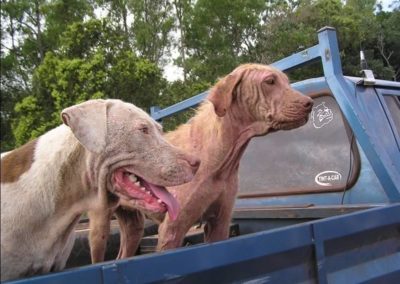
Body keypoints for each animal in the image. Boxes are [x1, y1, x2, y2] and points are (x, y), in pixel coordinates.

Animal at [89, 63, 314, 260]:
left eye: (287, 81)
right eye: (269, 81)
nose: (309, 103)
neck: (219, 161)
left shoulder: (220, 223)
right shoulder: (171, 229)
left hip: (133, 225)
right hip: (99, 230)